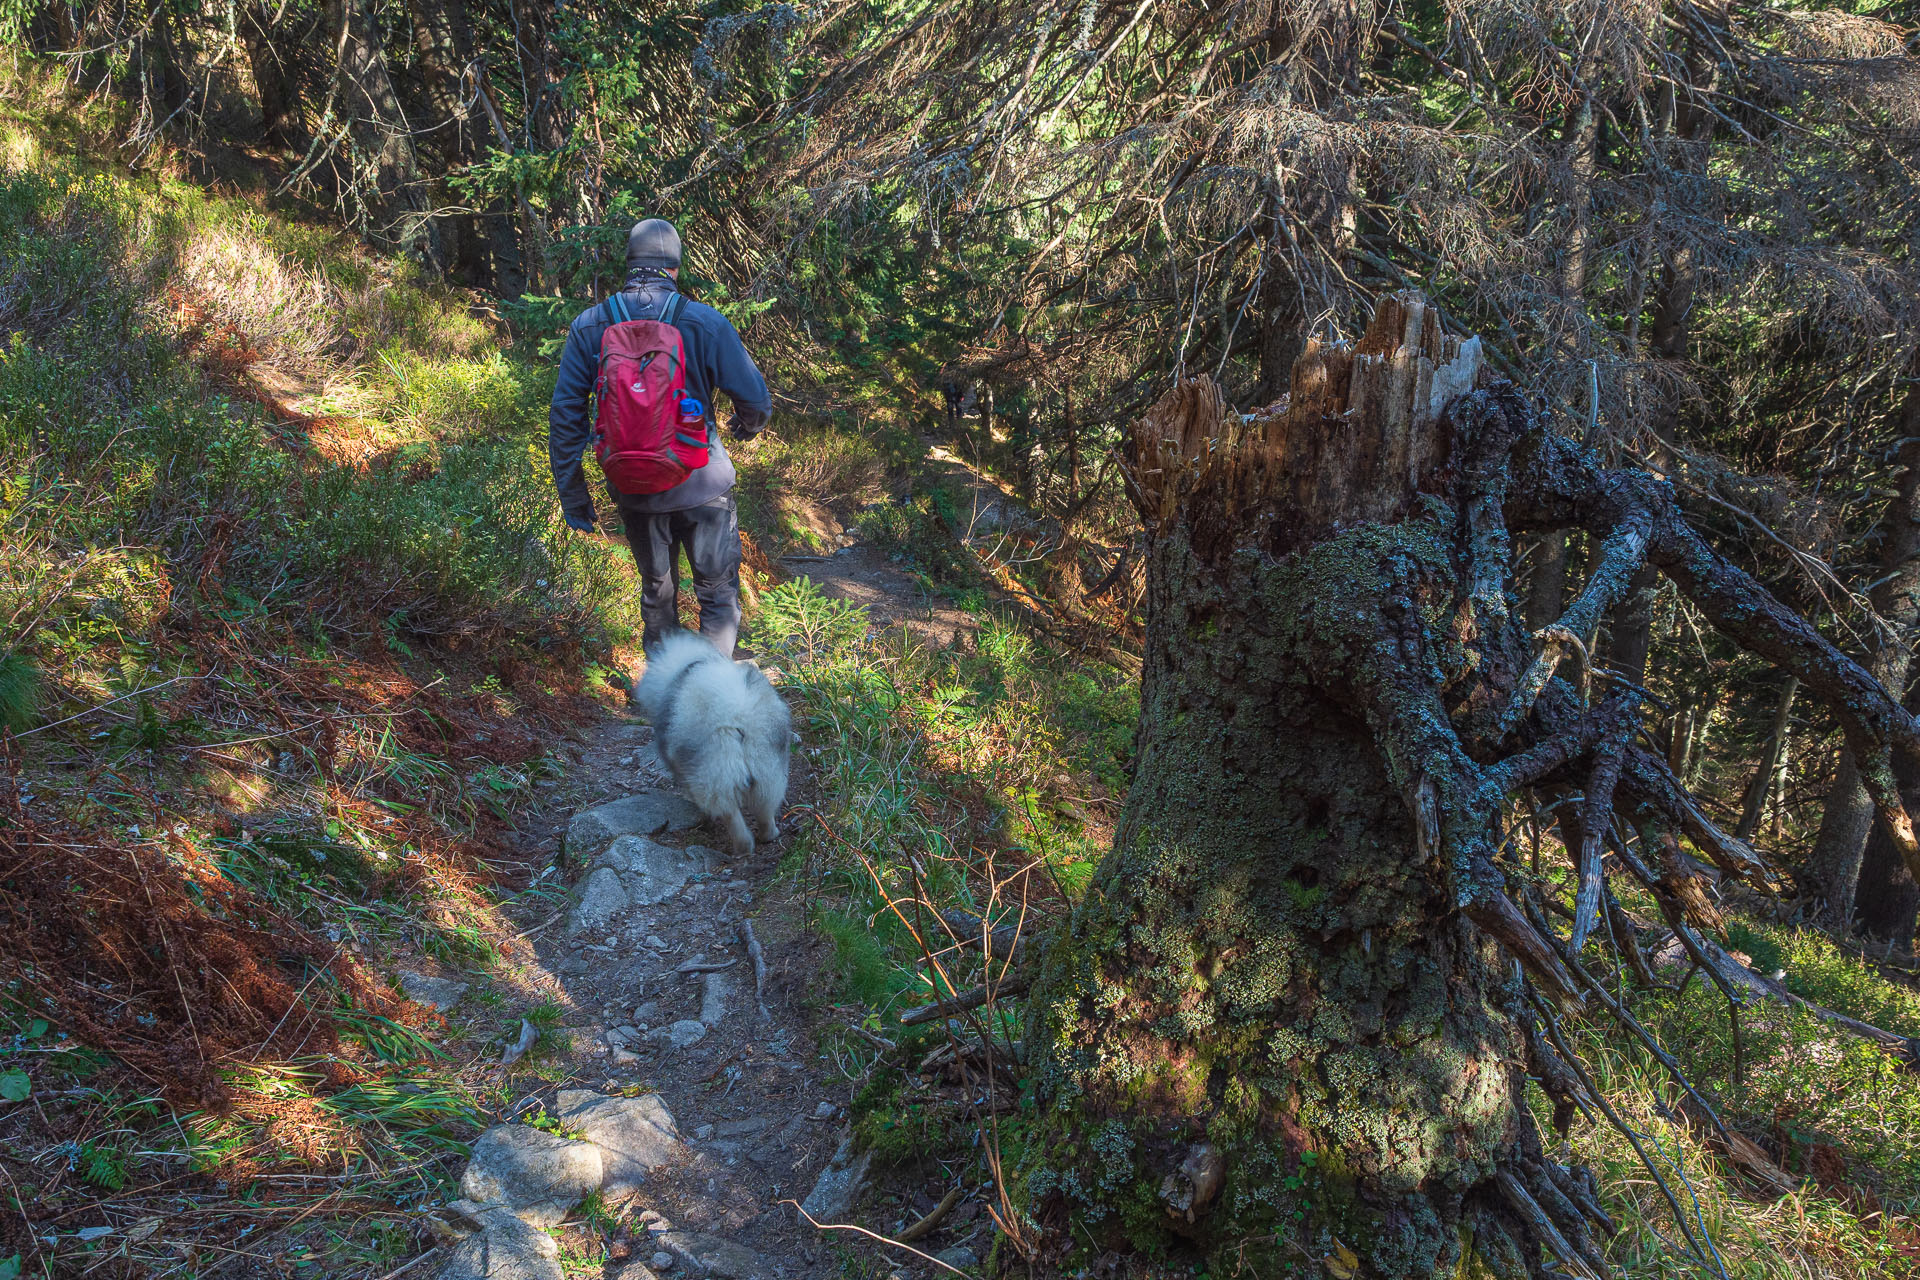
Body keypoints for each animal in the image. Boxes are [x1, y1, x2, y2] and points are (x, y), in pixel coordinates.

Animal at [633, 633, 791, 855]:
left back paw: (741, 847)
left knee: (730, 814)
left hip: (713, 772)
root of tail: (736, 713)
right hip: (769, 766)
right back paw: (769, 835)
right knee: (765, 807)